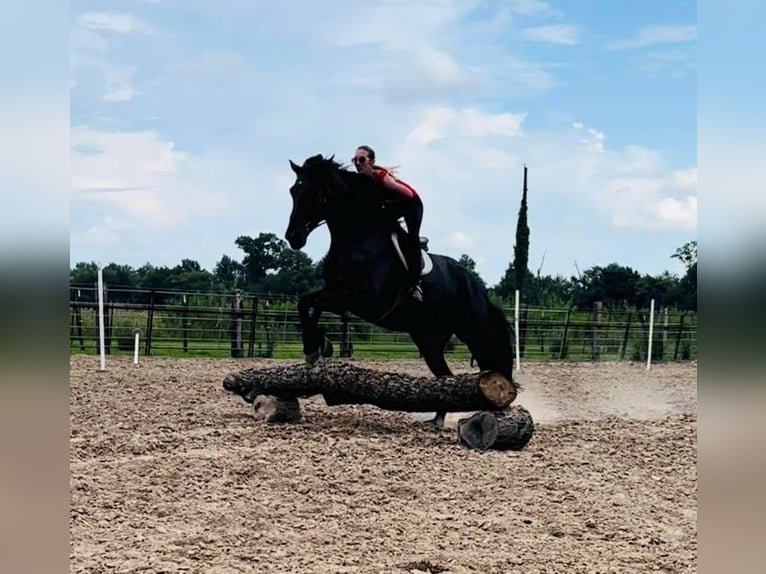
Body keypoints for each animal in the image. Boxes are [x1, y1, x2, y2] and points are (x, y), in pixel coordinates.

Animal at [284, 153, 520, 428]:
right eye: (293, 191)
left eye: (315, 192)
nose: (293, 237)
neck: (356, 237)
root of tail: (473, 284)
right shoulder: (338, 294)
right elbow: (305, 302)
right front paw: (316, 346)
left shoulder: (360, 300)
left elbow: (315, 303)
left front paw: (316, 347)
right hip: (428, 338)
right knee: (445, 376)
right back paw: (438, 419)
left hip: (470, 328)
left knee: (485, 359)